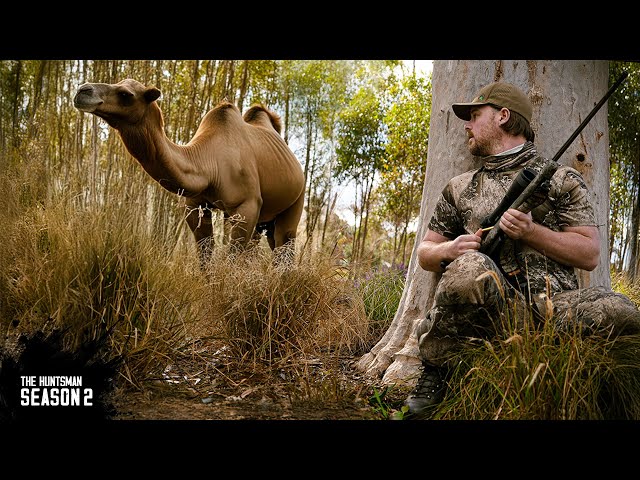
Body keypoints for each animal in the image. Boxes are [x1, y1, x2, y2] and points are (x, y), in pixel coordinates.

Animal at [74, 79, 306, 266]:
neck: (209, 165)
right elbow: (205, 254)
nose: (82, 91)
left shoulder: (247, 205)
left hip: (296, 201)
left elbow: (233, 259)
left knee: (284, 247)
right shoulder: (195, 205)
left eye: (125, 94)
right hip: (263, 220)